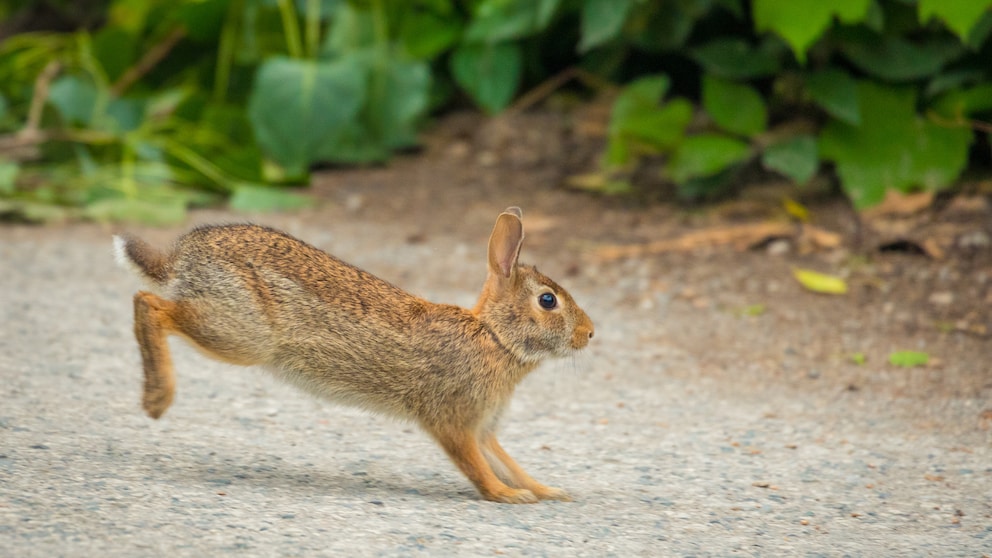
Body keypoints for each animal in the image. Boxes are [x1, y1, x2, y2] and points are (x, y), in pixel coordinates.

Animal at [116, 208, 596, 506]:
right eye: (548, 300)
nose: (590, 334)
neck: (495, 337)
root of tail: (181, 258)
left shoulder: (484, 426)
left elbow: (507, 462)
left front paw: (545, 491)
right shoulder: (454, 419)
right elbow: (476, 466)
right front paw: (507, 496)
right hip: (239, 331)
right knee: (148, 305)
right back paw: (157, 399)